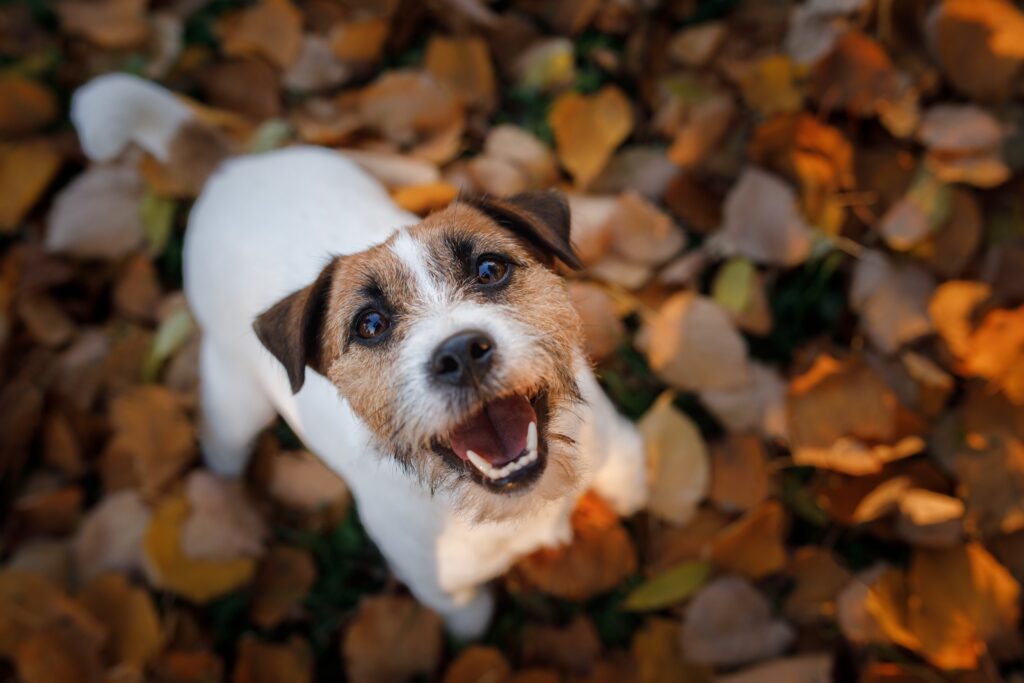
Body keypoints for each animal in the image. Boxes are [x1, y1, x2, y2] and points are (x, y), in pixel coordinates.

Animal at [74, 76, 647, 643]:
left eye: (490, 269)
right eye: (370, 325)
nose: (460, 354)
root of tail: (230, 168)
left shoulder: (621, 453)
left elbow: (632, 489)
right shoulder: (449, 595)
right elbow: (472, 623)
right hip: (235, 398)